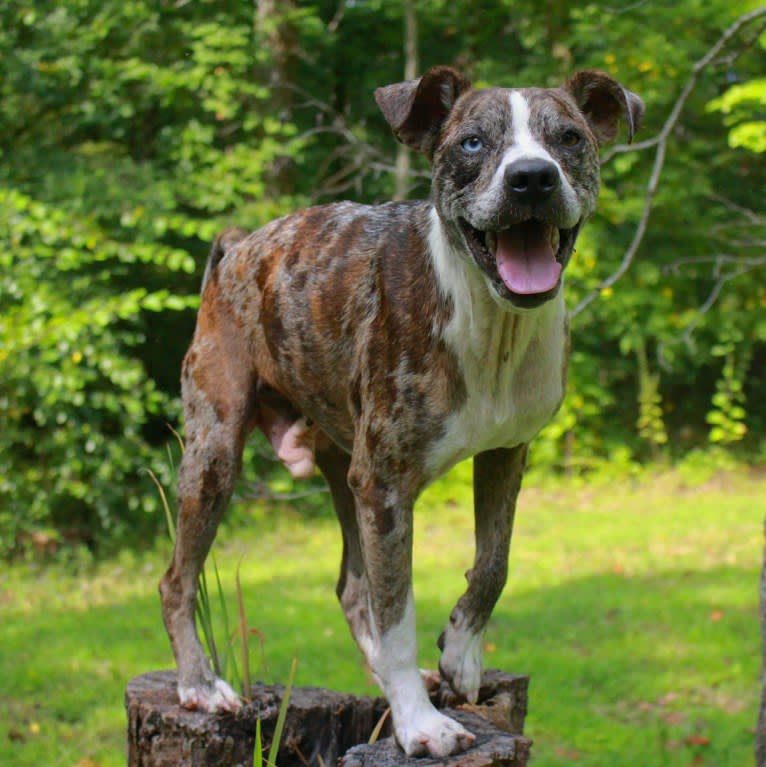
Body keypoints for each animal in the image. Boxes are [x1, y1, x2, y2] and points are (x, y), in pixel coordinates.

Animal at [160, 64, 640, 756]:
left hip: (343, 470)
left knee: (351, 588)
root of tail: (238, 245)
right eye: (472, 143)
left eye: (569, 138)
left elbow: (492, 563)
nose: (532, 177)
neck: (488, 323)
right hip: (215, 455)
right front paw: (420, 723)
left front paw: (461, 655)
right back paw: (200, 684)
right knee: (178, 580)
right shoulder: (386, 486)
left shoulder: (505, 455)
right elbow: (397, 613)